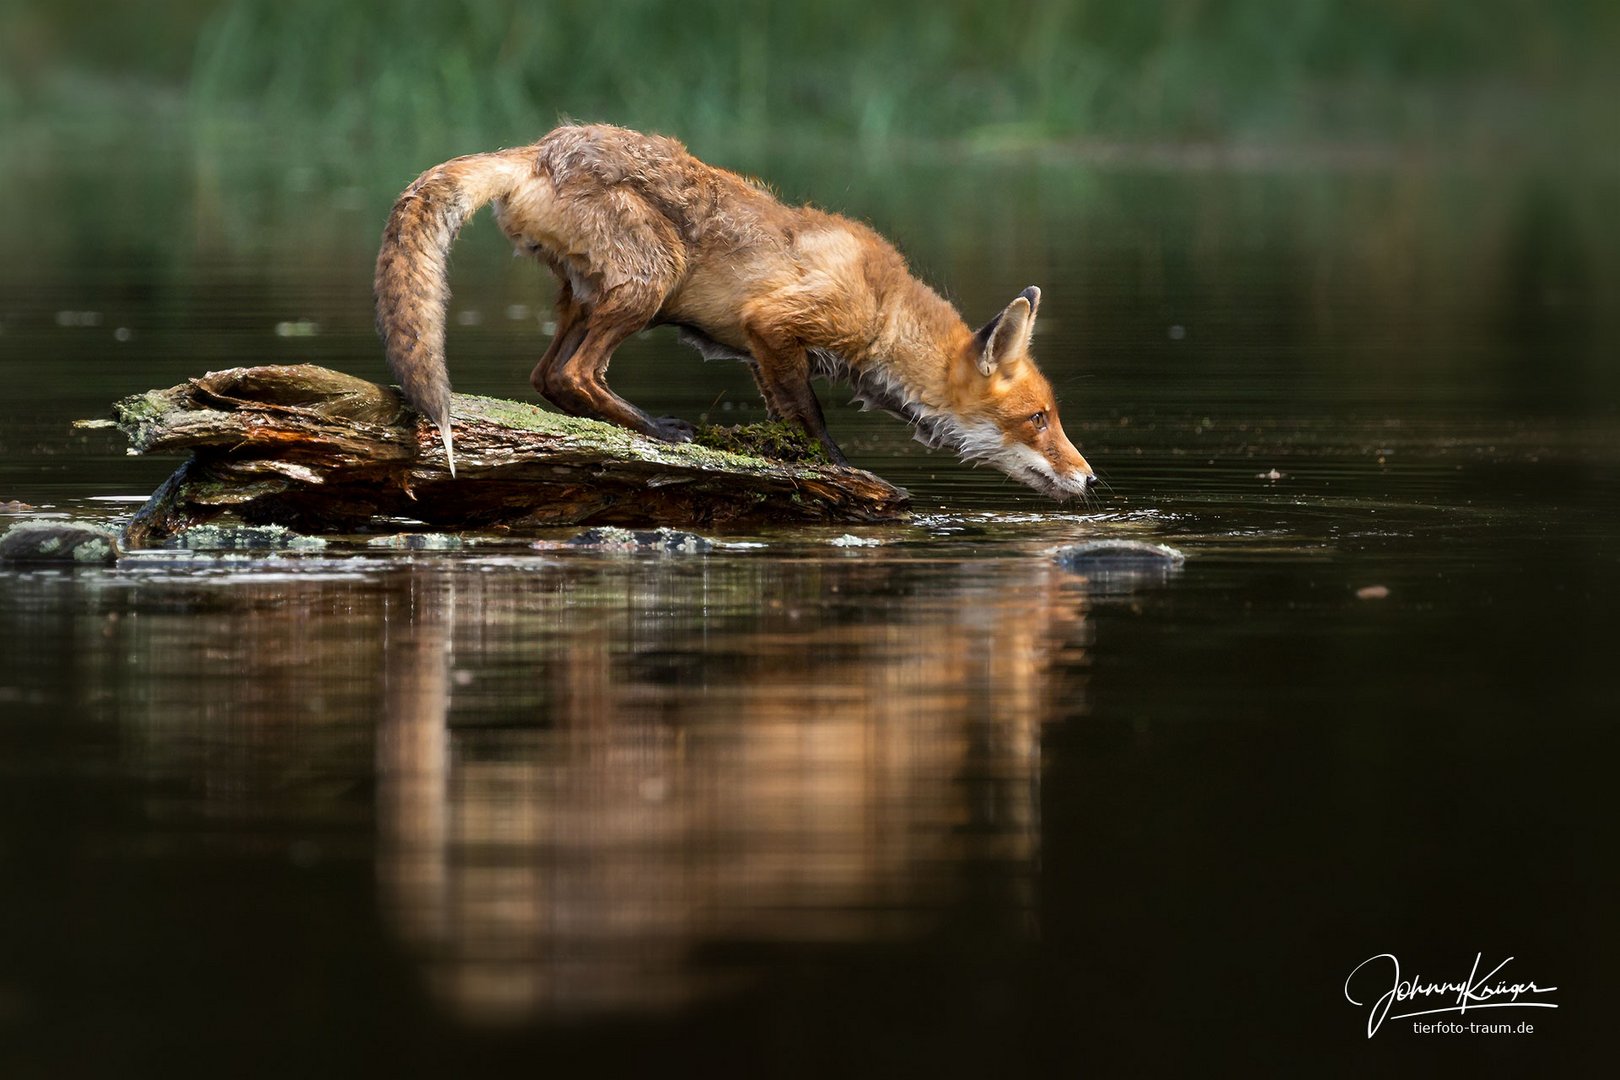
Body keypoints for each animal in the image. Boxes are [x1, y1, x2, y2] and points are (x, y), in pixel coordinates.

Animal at [372, 123, 1095, 498]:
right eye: (1038, 419)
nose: (1090, 480)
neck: (884, 306)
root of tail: (542, 148)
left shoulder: (765, 354)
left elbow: (786, 412)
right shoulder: (775, 326)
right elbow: (811, 418)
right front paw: (836, 467)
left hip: (586, 297)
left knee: (546, 376)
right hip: (651, 282)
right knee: (573, 374)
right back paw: (661, 430)